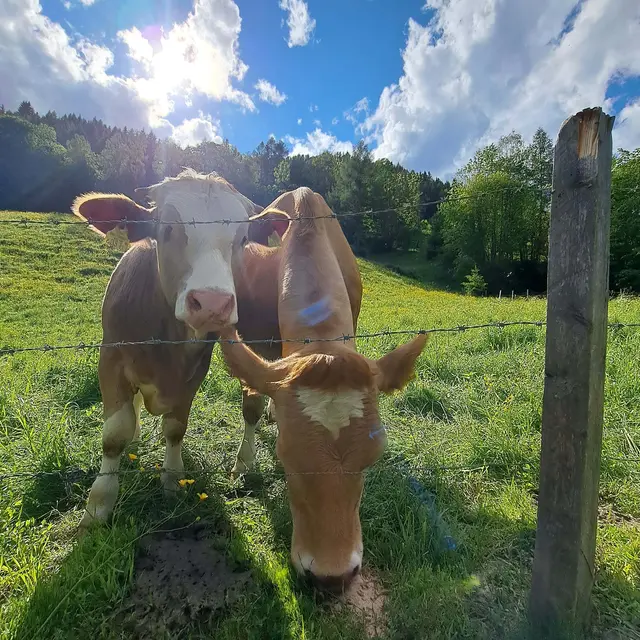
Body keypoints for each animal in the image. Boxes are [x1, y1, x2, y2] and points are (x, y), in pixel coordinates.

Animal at [72, 169, 267, 529]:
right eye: (165, 230)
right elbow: (114, 434)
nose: (212, 303)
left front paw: (172, 480)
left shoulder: (194, 372)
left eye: (244, 238)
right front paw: (98, 507)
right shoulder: (111, 359)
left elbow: (175, 429)